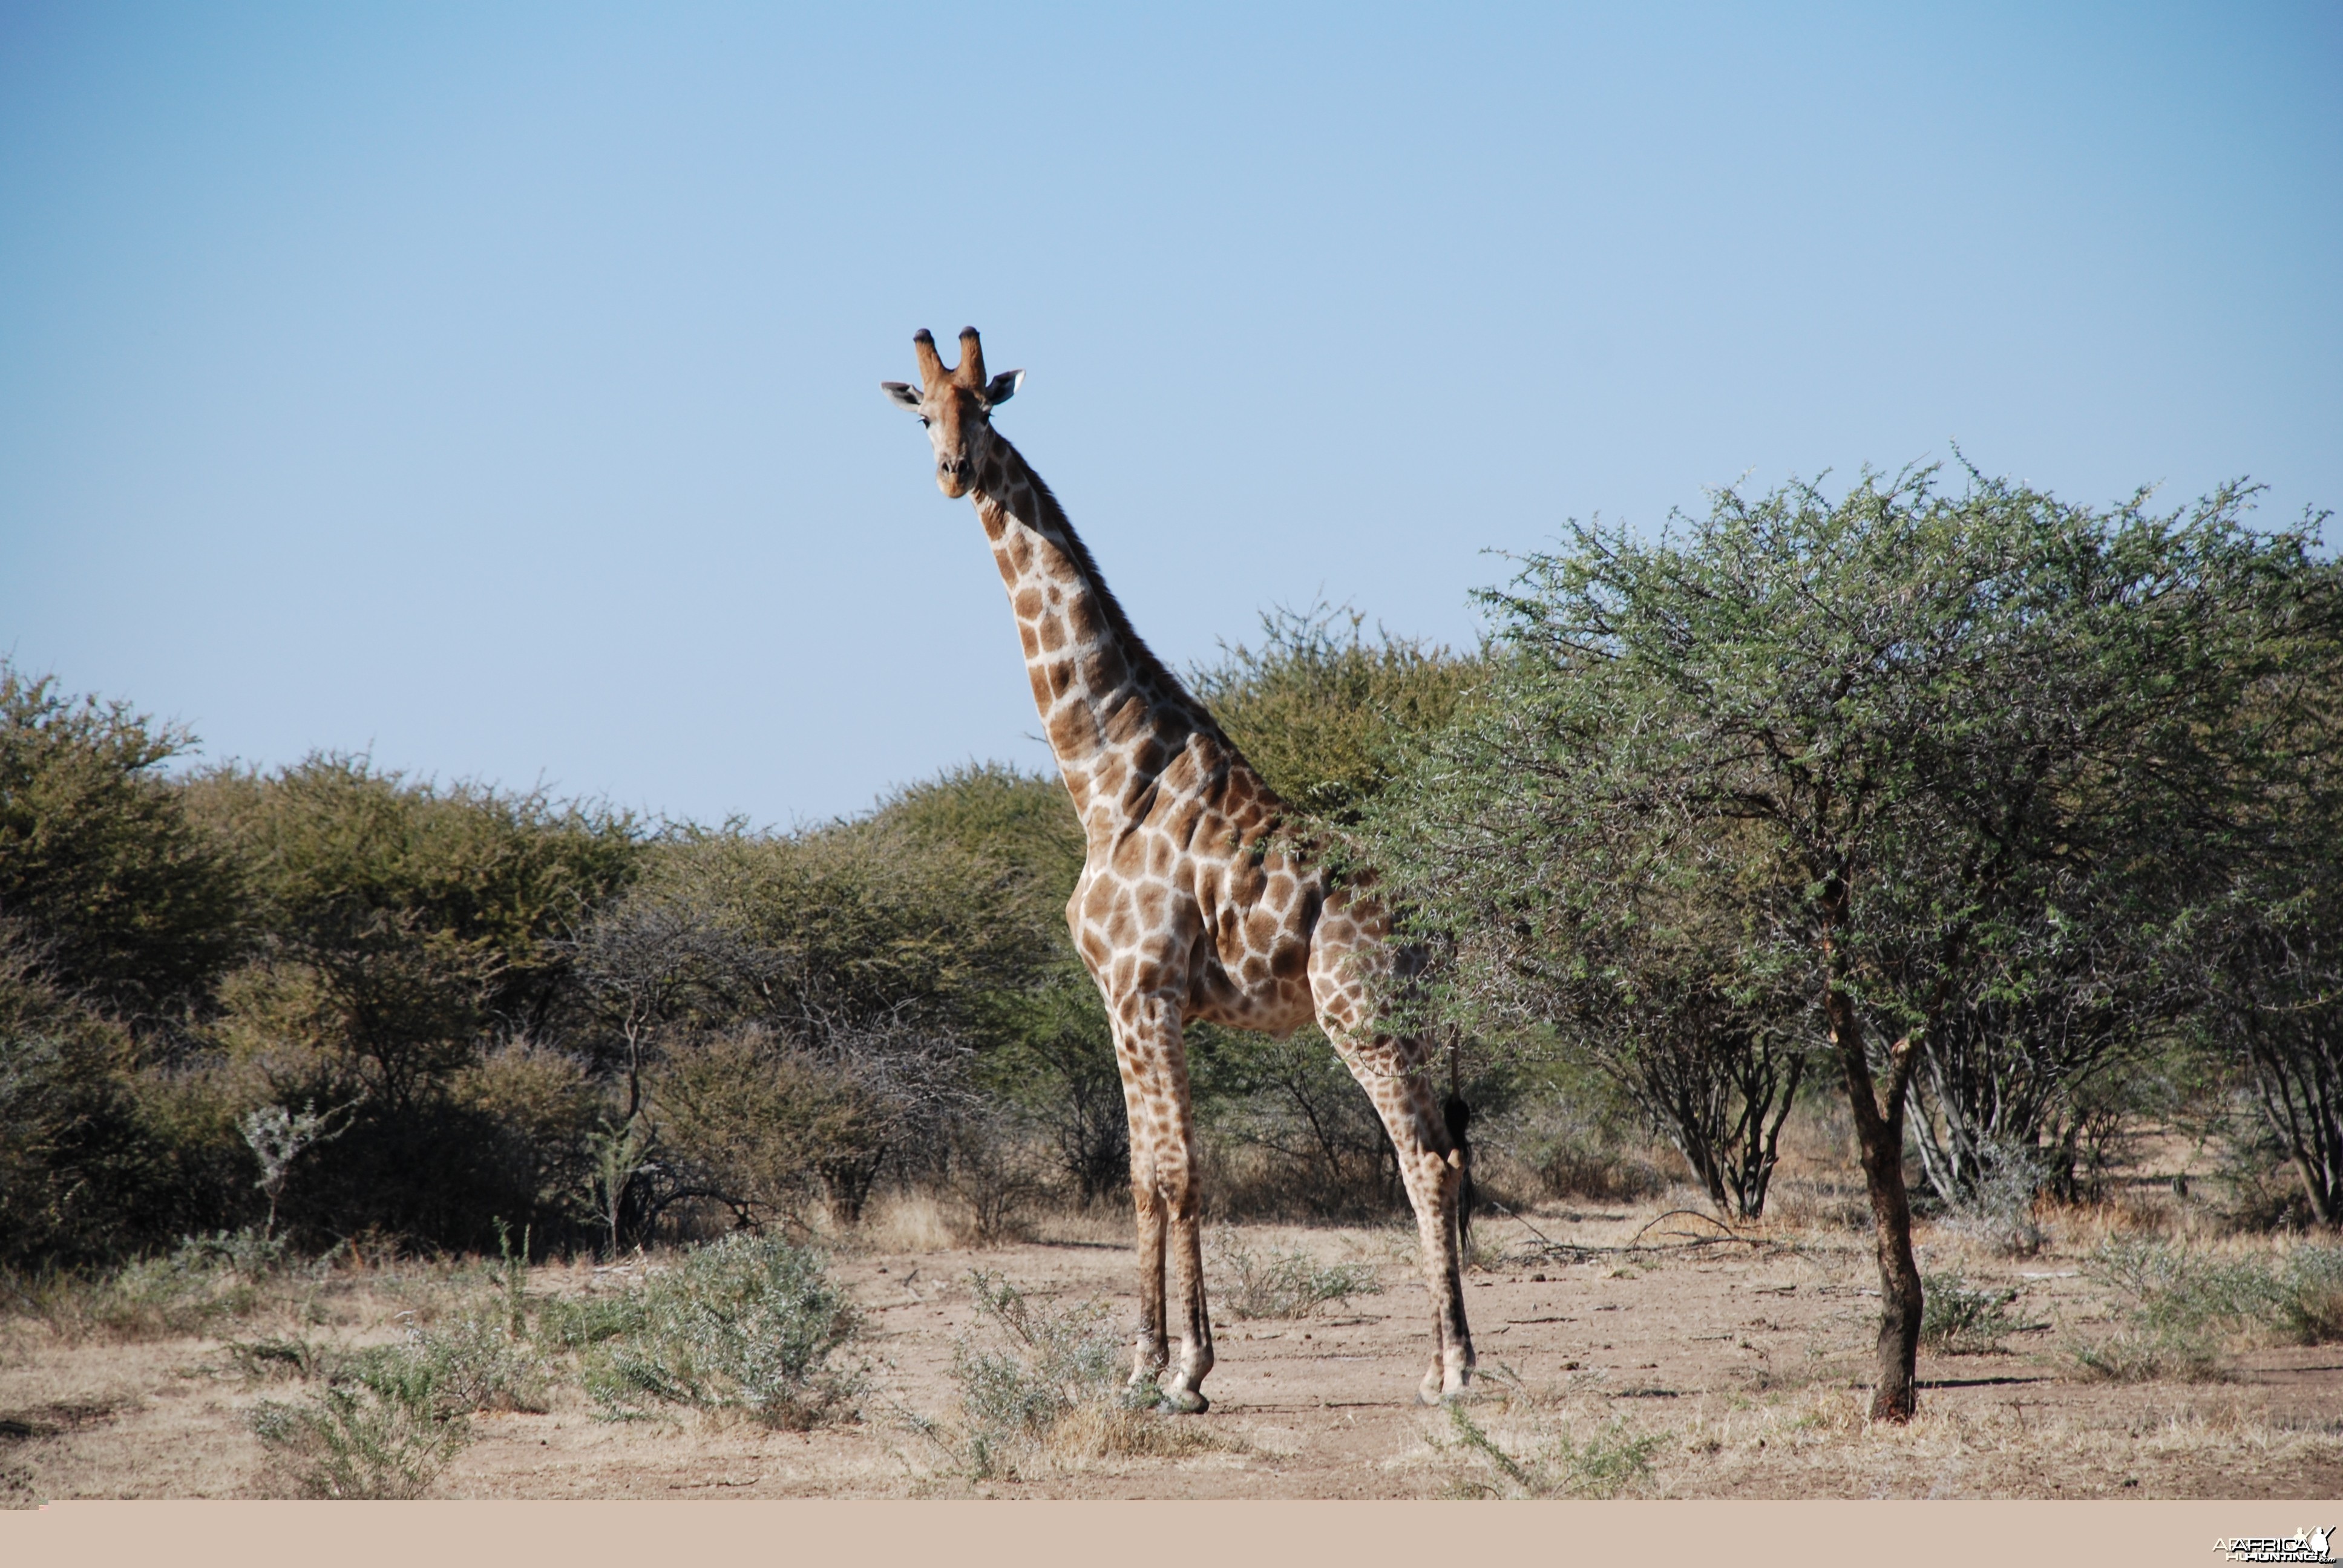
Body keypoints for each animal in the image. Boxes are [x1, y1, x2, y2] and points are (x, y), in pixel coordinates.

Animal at [885, 328, 1471, 1406]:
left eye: (983, 408)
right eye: (923, 414)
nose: (951, 473)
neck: (1109, 776)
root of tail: (1431, 922)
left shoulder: (1142, 990)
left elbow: (1171, 1173)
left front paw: (1175, 1372)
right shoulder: (1125, 1000)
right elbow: (1148, 1174)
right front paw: (1160, 1364)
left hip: (1362, 1018)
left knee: (1427, 1163)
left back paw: (1454, 1372)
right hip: (1408, 1024)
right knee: (1446, 1154)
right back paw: (1439, 1360)